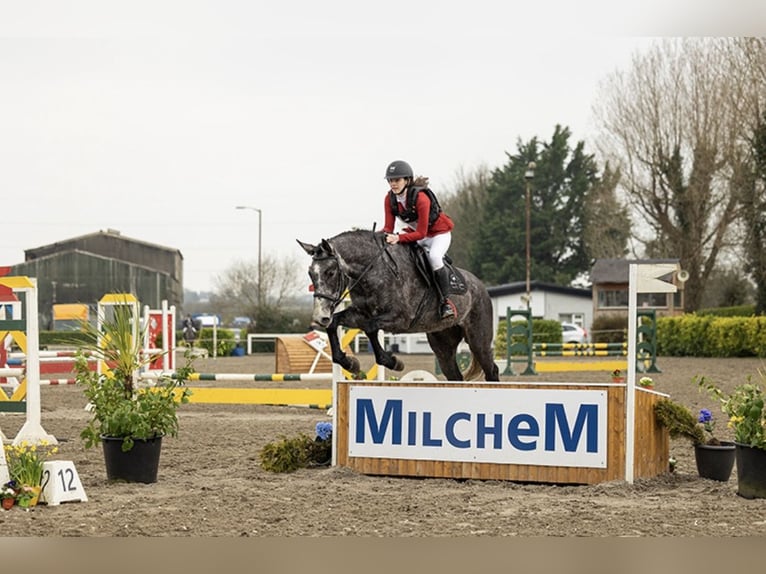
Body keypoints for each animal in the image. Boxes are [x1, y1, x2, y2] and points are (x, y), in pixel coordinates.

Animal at [296, 230, 500, 382]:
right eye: (310, 273)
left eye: (330, 272)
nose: (320, 317)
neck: (372, 272)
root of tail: (480, 286)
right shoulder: (360, 314)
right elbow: (336, 323)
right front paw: (349, 363)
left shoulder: (400, 319)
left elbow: (370, 327)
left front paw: (392, 361)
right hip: (442, 343)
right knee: (454, 374)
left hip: (478, 339)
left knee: (491, 369)